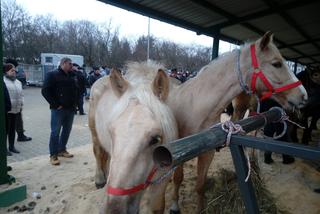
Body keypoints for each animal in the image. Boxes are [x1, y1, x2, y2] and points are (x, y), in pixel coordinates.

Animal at [165, 31, 308, 212]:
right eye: (276, 64)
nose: (304, 96)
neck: (196, 106)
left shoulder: (207, 153)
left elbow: (200, 185)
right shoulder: (180, 153)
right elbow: (178, 177)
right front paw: (174, 206)